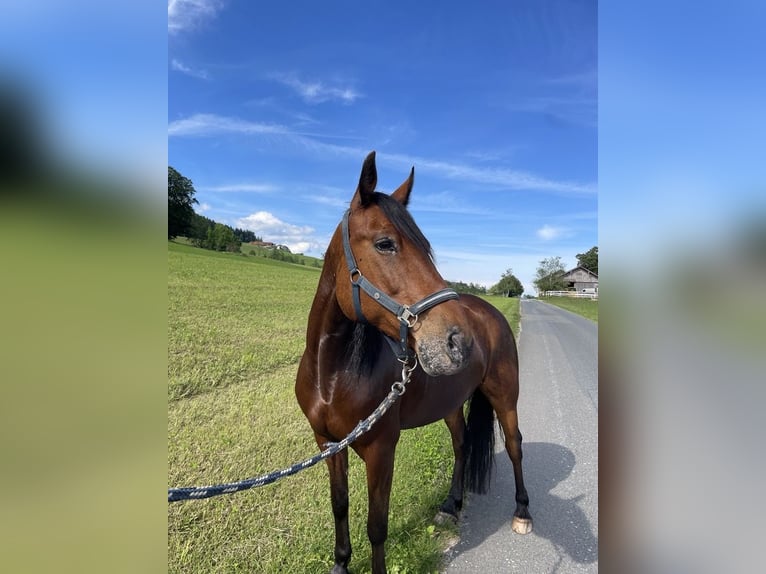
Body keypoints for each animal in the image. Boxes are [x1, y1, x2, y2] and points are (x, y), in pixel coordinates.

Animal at [295, 151, 532, 574]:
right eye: (385, 243)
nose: (459, 341)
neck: (332, 375)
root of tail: (490, 314)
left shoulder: (381, 451)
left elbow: (377, 526)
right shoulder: (328, 444)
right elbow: (340, 505)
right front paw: (340, 564)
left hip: (505, 396)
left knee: (515, 444)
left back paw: (522, 512)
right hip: (451, 403)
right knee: (460, 443)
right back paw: (451, 505)